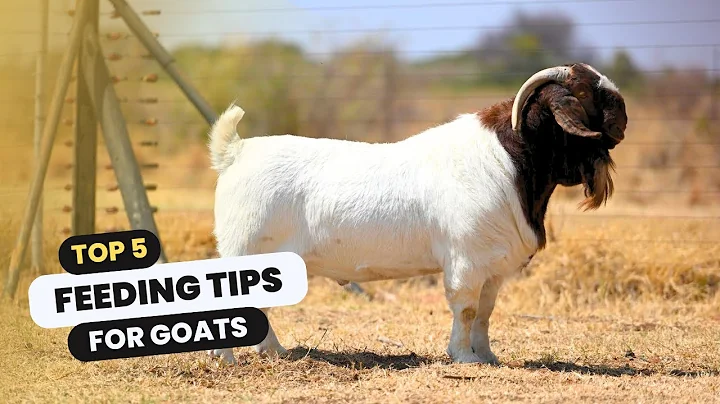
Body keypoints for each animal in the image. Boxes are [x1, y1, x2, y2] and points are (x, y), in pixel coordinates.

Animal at [206, 63, 628, 365]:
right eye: (586, 91)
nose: (623, 121)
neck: (507, 158)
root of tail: (236, 151)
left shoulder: (493, 266)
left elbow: (485, 312)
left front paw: (487, 356)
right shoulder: (465, 260)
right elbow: (466, 308)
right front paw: (463, 358)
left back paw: (274, 352)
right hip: (244, 251)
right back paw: (225, 359)